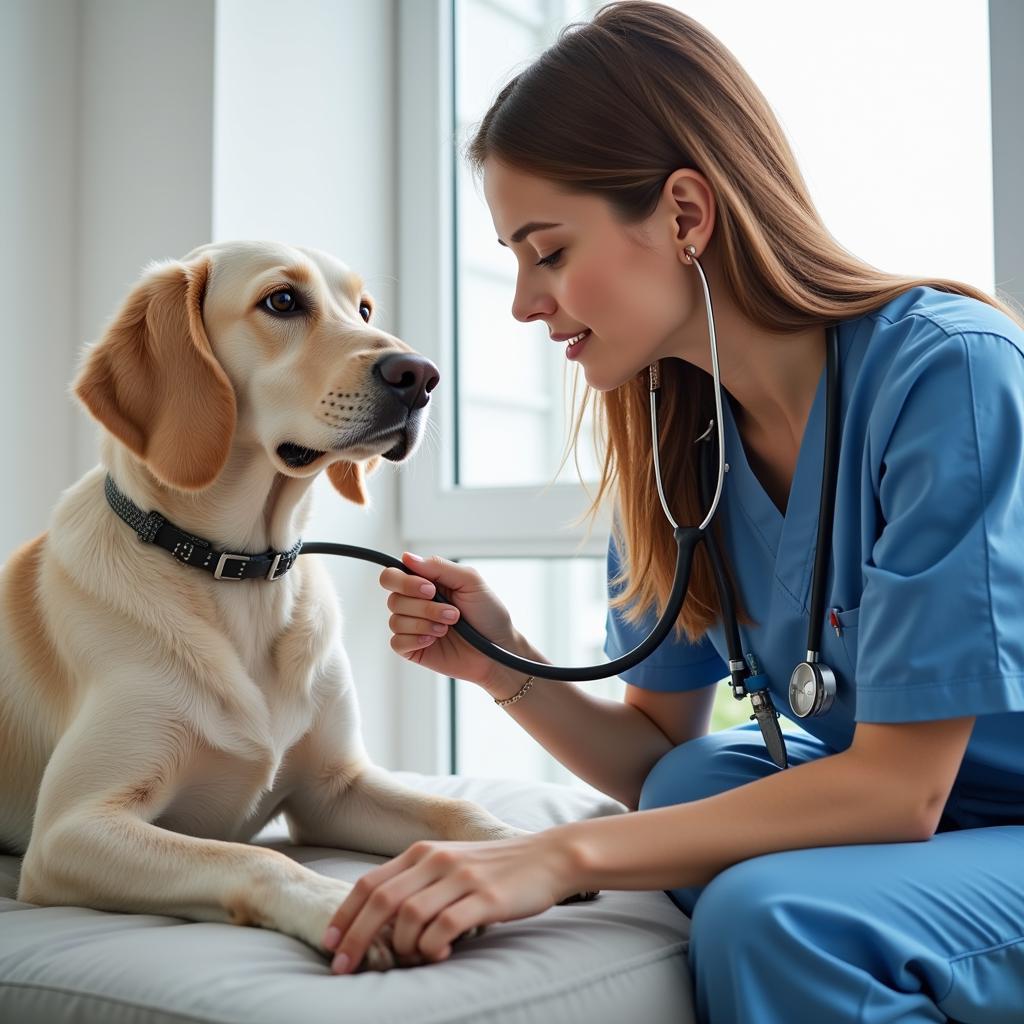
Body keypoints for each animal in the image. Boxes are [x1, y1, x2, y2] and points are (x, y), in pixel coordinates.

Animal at [0, 237, 524, 966]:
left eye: (364, 308)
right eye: (281, 301)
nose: (421, 375)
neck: (239, 574)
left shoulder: (334, 791)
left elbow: (457, 811)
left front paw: (520, 851)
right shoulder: (71, 829)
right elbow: (254, 859)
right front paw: (340, 905)